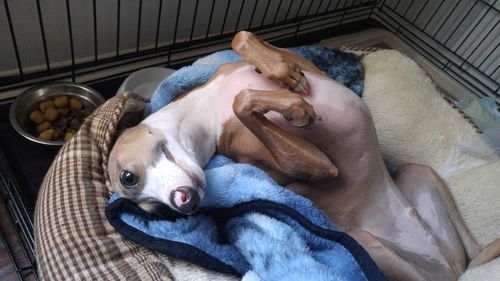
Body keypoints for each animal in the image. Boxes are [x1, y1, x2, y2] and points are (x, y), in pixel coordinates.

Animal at [107, 31, 498, 280]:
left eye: (128, 176)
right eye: (155, 212)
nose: (183, 202)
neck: (205, 110)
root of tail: (446, 267)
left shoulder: (303, 64)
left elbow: (243, 39)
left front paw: (285, 79)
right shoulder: (318, 168)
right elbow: (243, 101)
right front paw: (297, 108)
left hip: (418, 174)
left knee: (473, 254)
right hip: (373, 247)